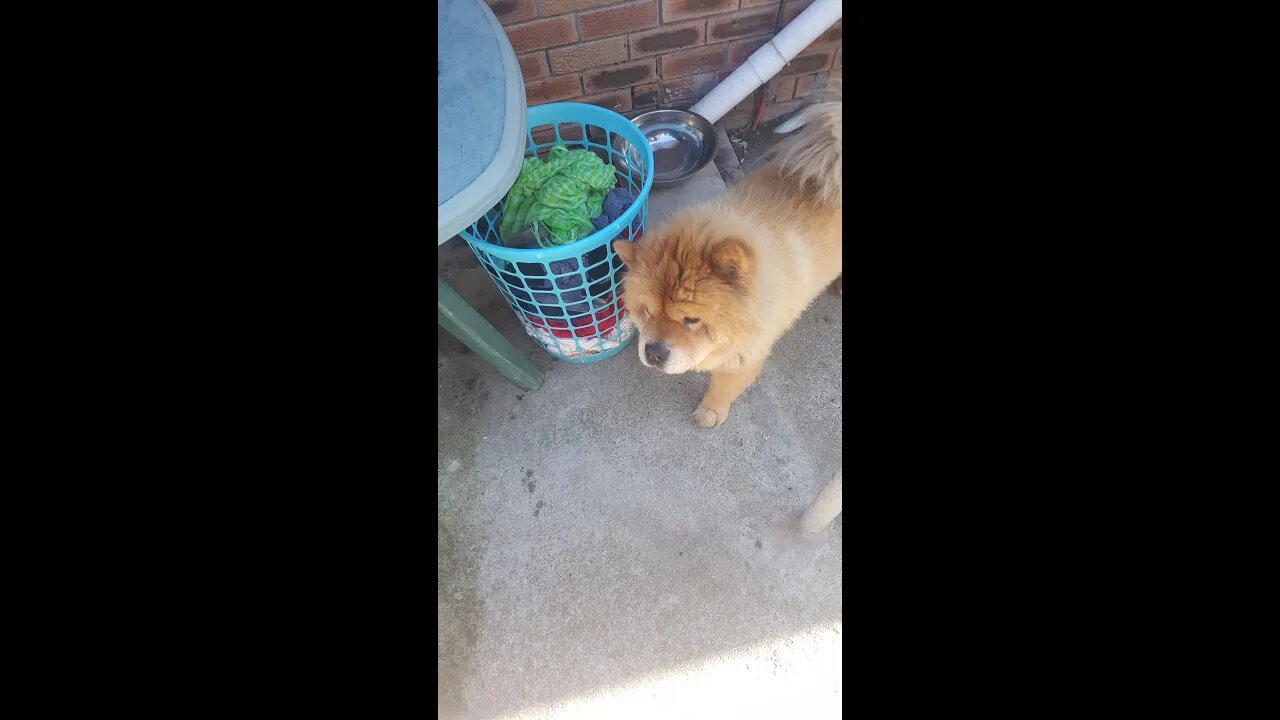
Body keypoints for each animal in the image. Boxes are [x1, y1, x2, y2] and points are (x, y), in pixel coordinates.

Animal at [616, 101, 844, 425]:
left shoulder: (745, 354)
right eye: (646, 311)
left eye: (691, 320)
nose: (654, 353)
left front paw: (709, 413)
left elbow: (723, 386)